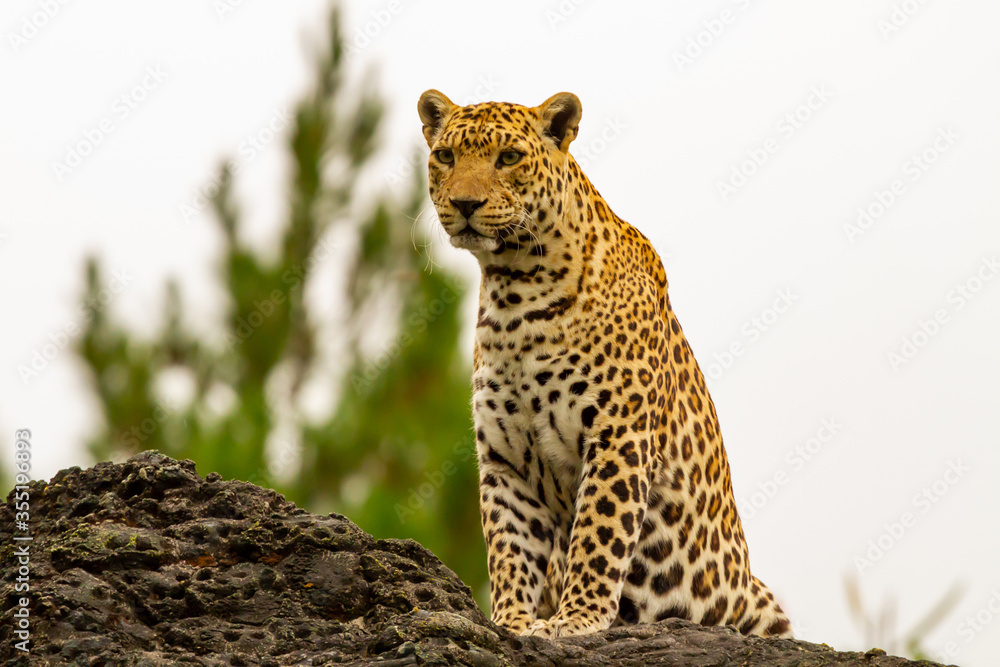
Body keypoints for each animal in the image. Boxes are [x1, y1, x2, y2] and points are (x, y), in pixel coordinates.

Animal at [417, 89, 792, 639]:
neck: (514, 293)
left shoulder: (619, 434)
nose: (465, 204)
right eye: (445, 156)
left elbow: (598, 531)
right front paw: (512, 622)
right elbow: (508, 544)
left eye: (508, 158)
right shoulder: (505, 458)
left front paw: (574, 620)